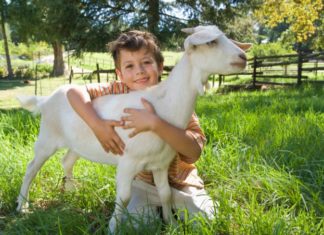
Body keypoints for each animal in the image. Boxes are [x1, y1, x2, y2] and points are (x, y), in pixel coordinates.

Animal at [15, 25, 251, 231]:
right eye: (211, 42)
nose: (243, 58)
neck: (162, 103)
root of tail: (45, 100)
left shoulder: (161, 163)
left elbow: (165, 194)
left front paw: (171, 225)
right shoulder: (128, 161)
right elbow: (124, 198)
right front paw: (112, 229)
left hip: (77, 143)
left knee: (66, 161)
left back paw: (71, 191)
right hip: (47, 138)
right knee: (31, 168)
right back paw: (22, 206)